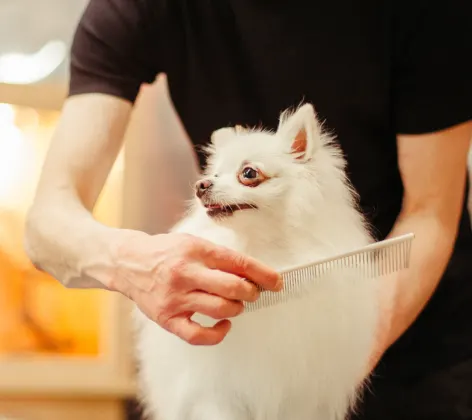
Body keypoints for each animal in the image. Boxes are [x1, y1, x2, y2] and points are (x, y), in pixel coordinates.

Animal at [135, 102, 378, 420]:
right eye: (215, 174)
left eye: (248, 173)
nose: (201, 185)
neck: (261, 250)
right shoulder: (217, 393)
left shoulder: (300, 397)